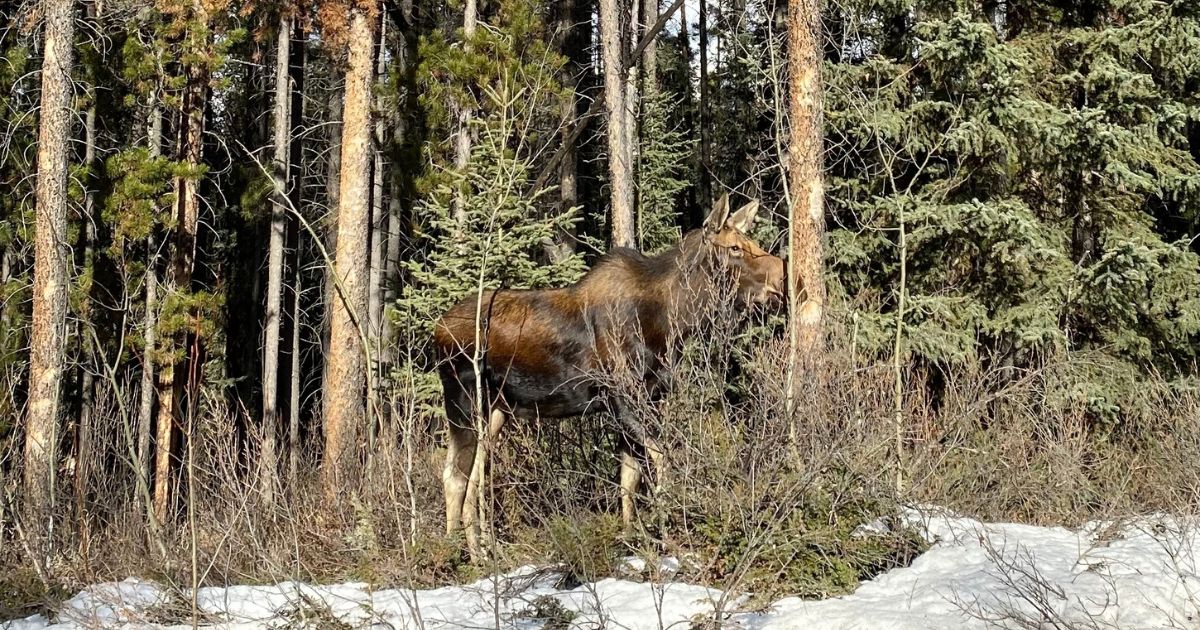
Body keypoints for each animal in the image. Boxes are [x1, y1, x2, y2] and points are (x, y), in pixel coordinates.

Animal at [432, 193, 787, 549]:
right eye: (735, 248)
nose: (780, 281)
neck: (672, 321)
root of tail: (436, 330)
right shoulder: (622, 397)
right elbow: (661, 460)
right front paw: (669, 528)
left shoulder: (650, 396)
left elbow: (629, 479)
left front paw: (634, 539)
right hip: (463, 398)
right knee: (454, 474)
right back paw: (455, 553)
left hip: (496, 409)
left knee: (474, 475)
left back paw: (481, 550)